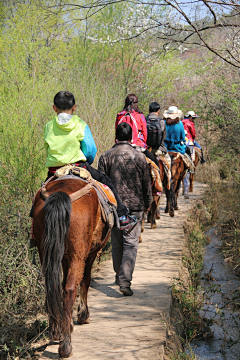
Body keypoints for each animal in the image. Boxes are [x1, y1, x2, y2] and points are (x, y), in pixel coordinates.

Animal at [32, 179, 109, 358]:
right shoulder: (90, 253)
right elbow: (86, 281)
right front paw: (83, 315)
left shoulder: (64, 257)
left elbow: (60, 284)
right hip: (78, 254)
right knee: (71, 289)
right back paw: (66, 346)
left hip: (45, 250)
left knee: (51, 287)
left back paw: (56, 331)